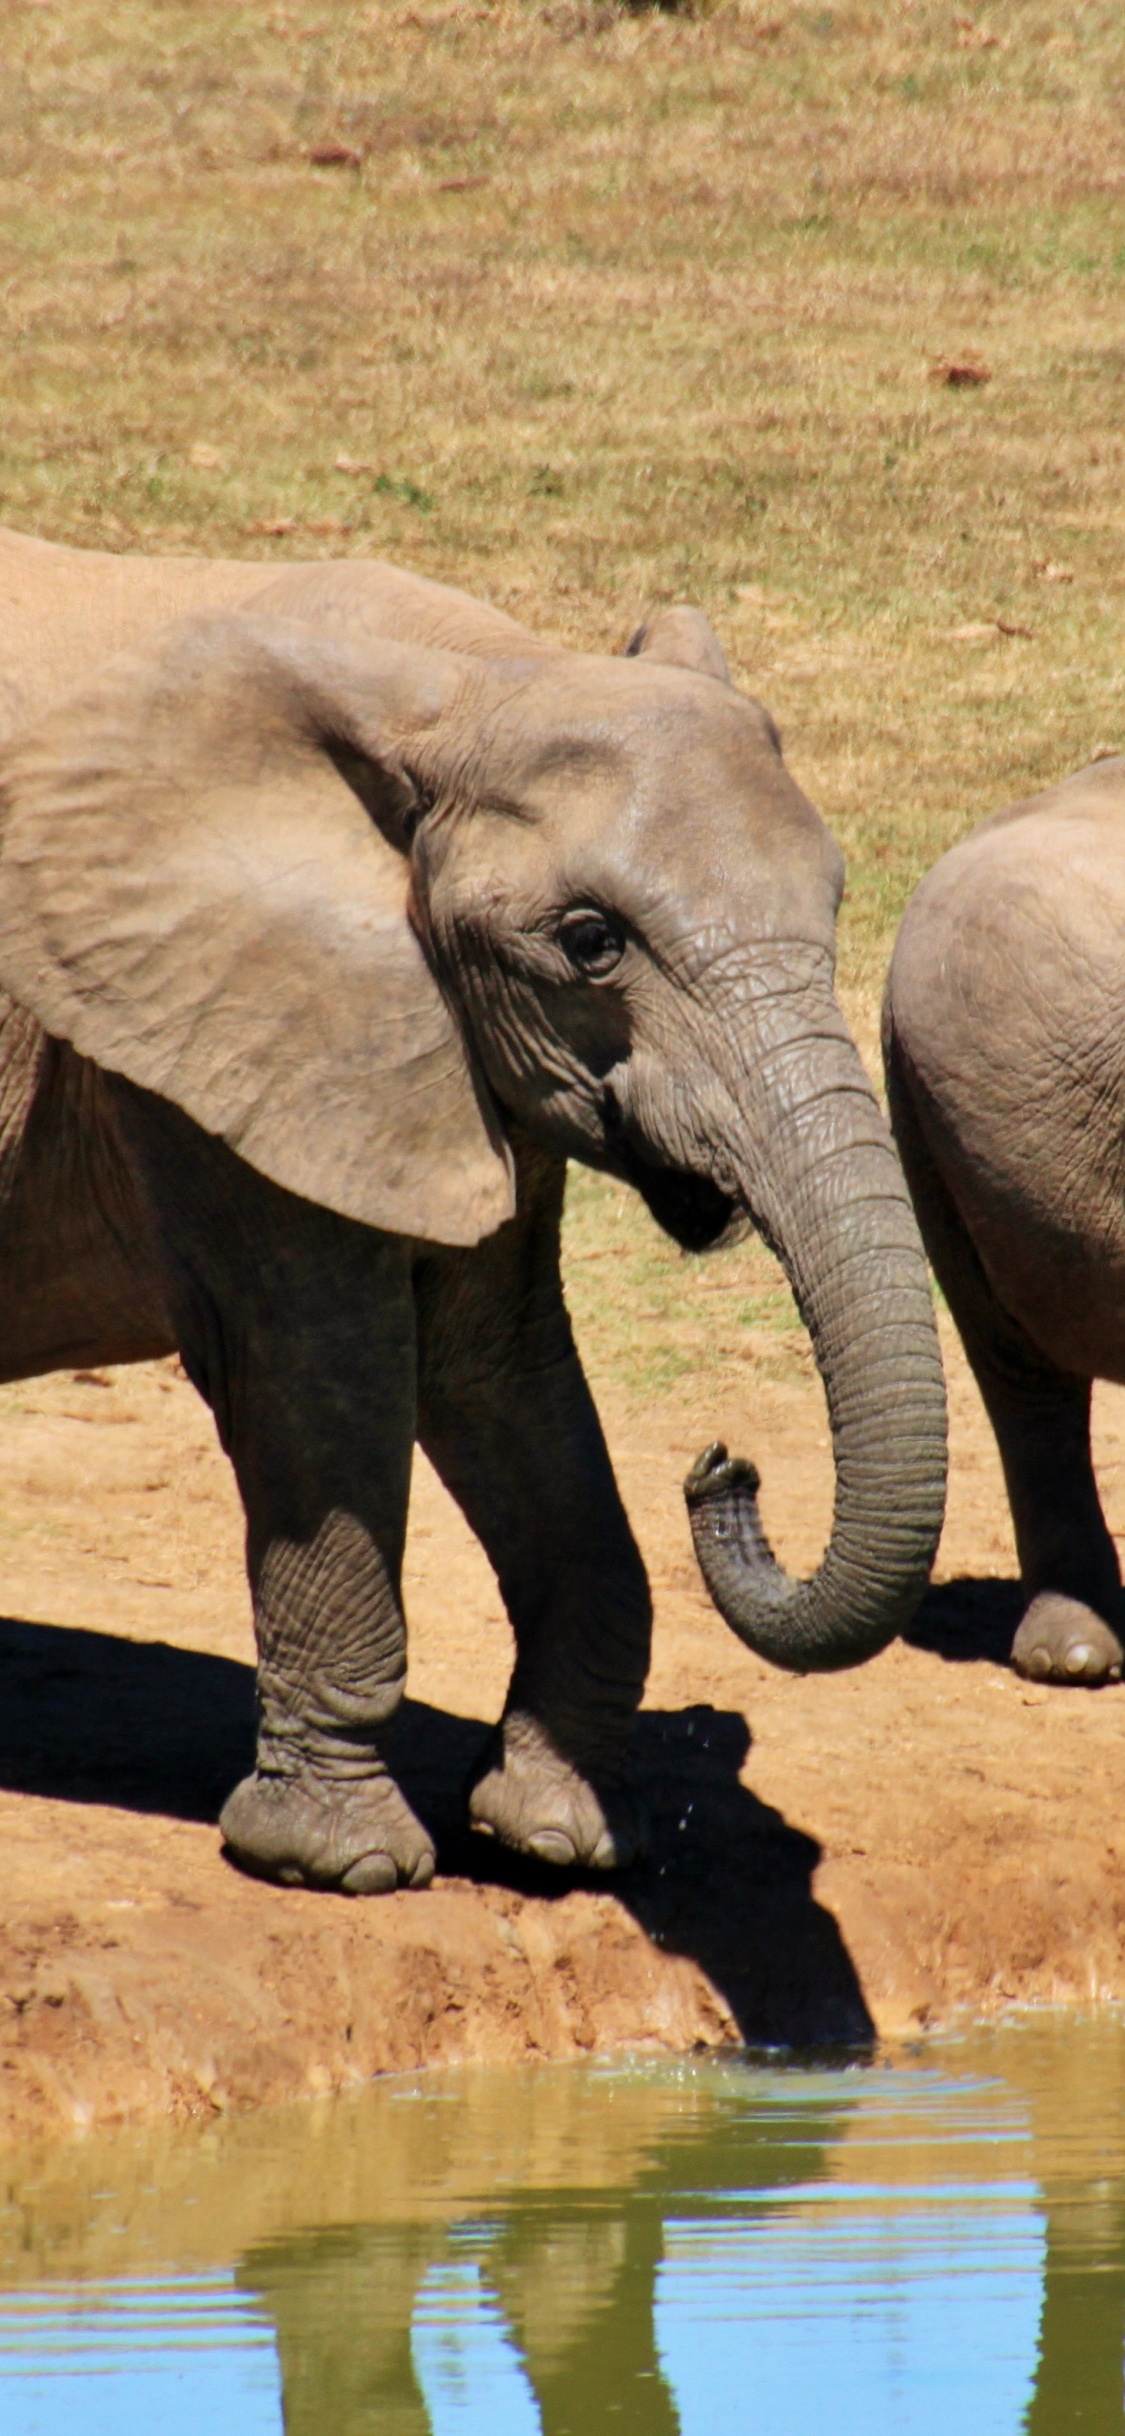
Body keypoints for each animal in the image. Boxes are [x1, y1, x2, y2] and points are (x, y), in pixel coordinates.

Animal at [0, 524, 947, 1893]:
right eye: (591, 942)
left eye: (830, 905)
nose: (723, 1463)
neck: (463, 680)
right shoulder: (194, 1025)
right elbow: (318, 1367)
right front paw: (339, 1866)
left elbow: (493, 1361)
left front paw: (560, 1835)